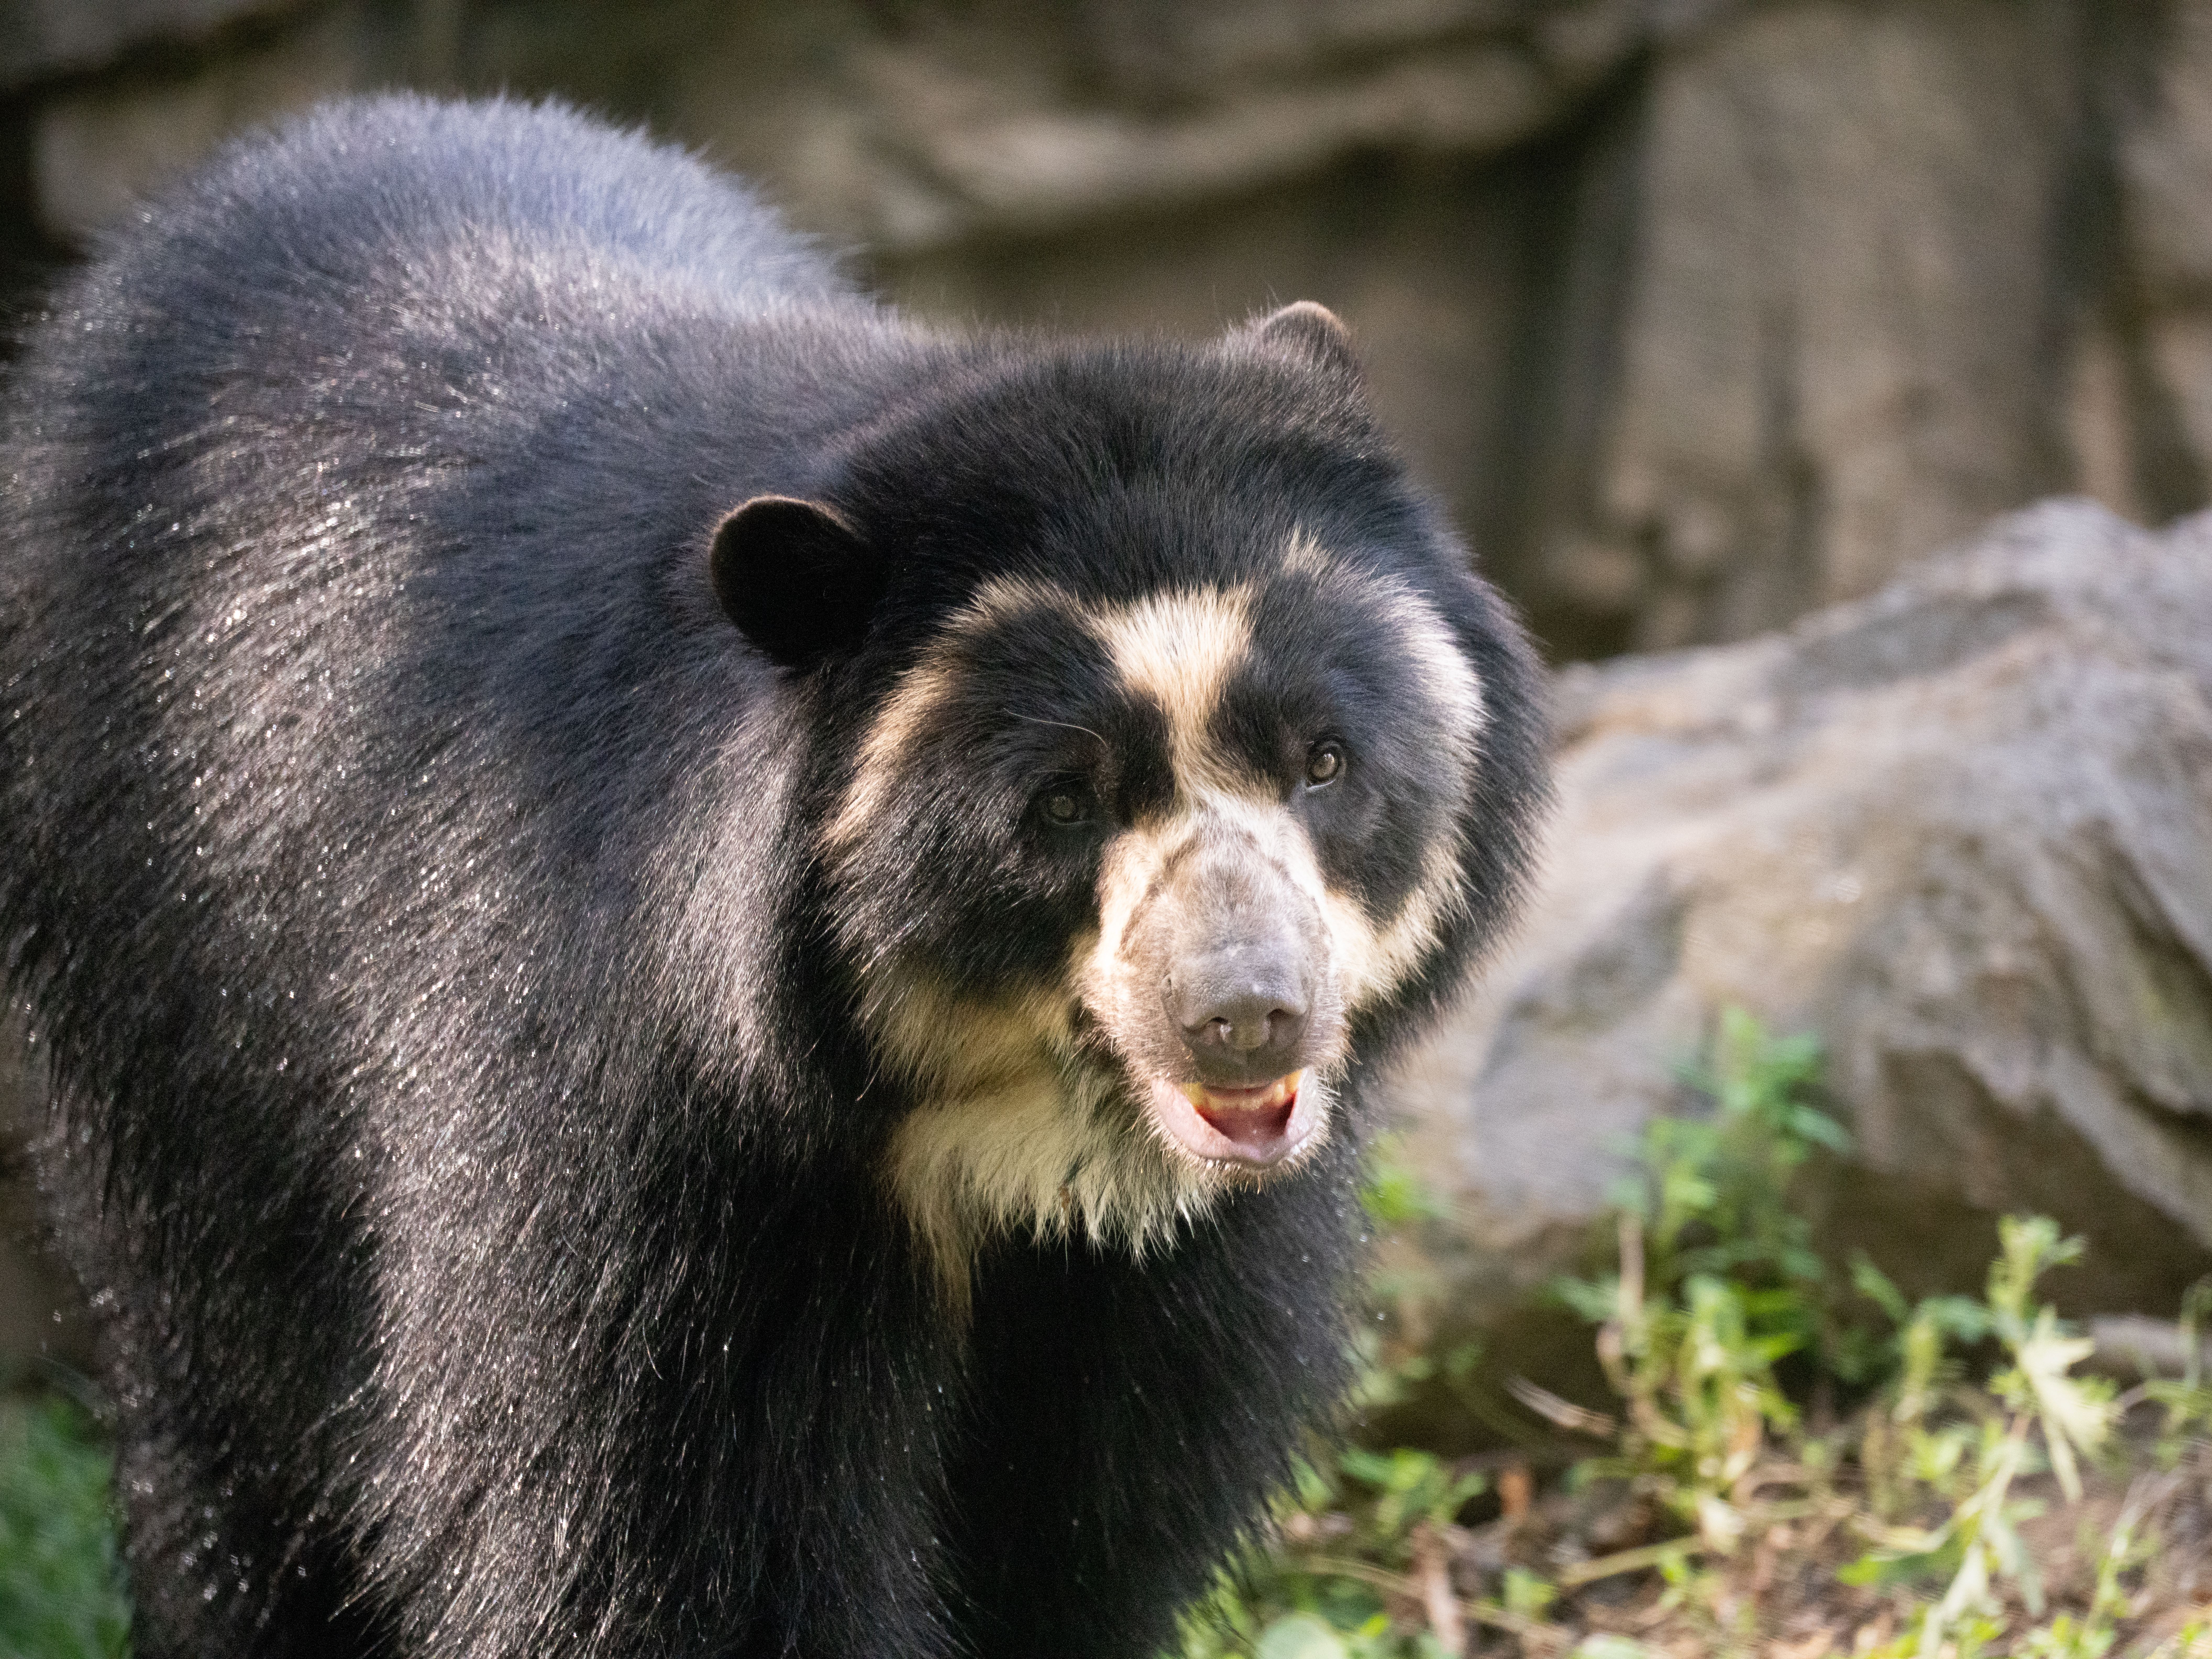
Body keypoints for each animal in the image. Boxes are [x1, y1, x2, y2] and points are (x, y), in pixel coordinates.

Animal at [0, 95, 1547, 1659]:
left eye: (1323, 761)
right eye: (1060, 805)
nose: (1247, 1015)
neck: (982, 1132)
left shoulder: (1156, 1277)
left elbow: (1090, 1520)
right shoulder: (647, 1130)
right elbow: (664, 1533)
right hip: (164, 950)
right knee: (235, 1421)